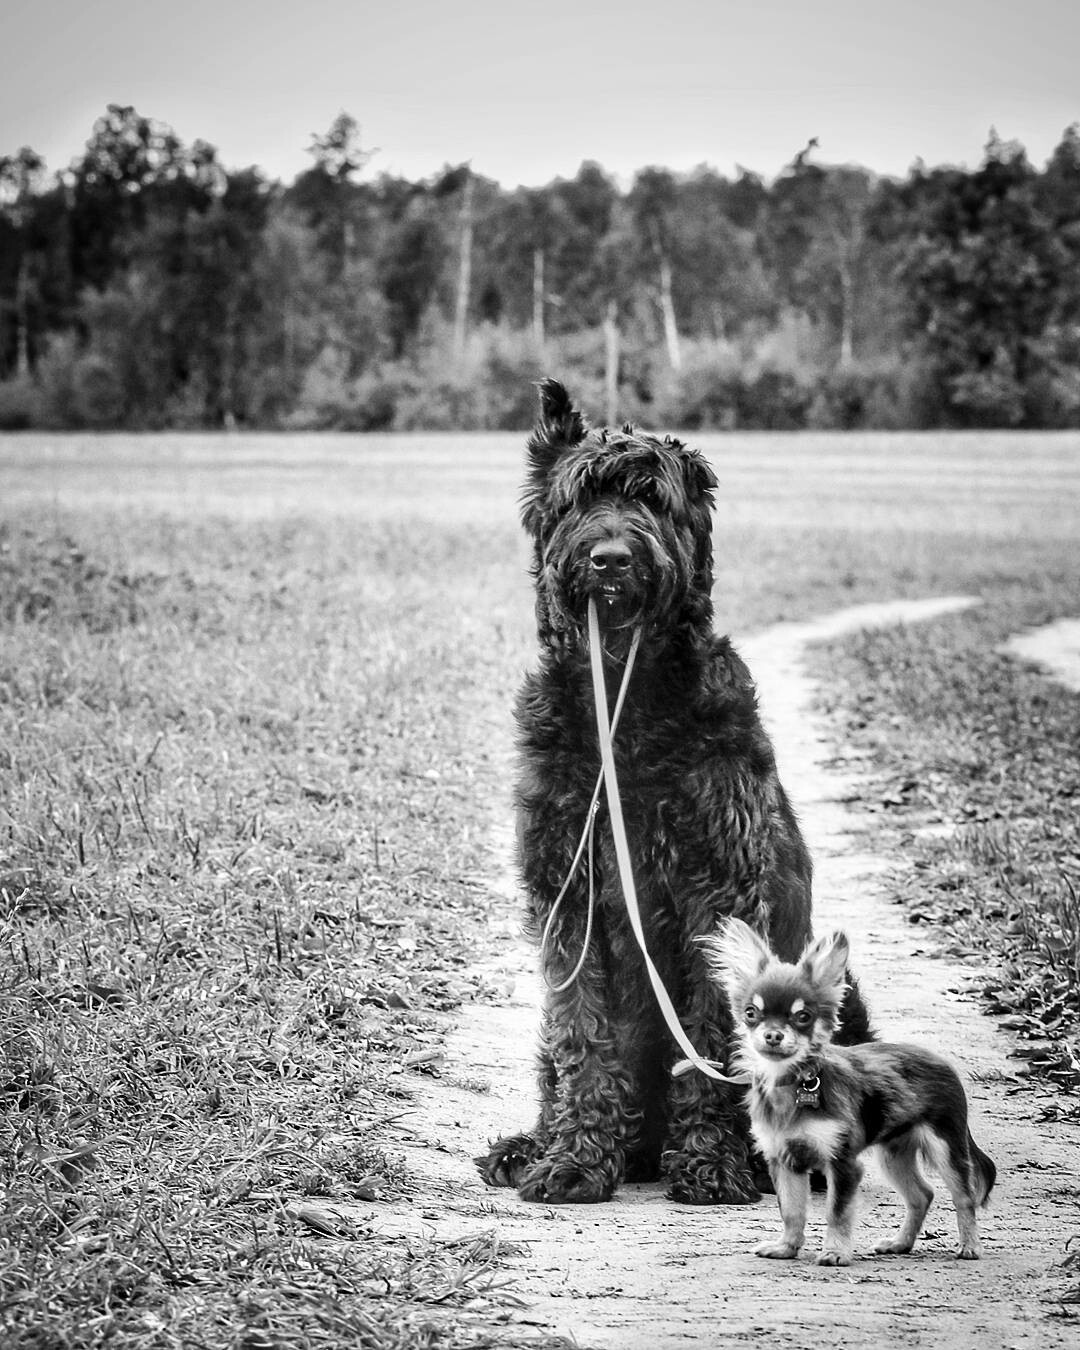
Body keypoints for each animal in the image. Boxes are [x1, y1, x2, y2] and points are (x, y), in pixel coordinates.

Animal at [477, 378, 874, 1204]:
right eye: (579, 498)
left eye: (652, 501)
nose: (610, 557)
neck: (625, 708)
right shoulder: (571, 903)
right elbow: (584, 1039)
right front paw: (575, 1158)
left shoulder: (717, 897)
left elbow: (713, 1040)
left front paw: (710, 1162)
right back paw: (537, 1144)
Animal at [702, 918, 993, 1263]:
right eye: (751, 1012)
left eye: (803, 1016)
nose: (772, 1035)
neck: (793, 1082)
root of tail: (941, 1061)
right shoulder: (785, 1161)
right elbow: (792, 1212)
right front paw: (786, 1247)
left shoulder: (842, 1162)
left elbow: (837, 1212)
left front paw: (835, 1252)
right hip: (893, 1154)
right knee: (922, 1195)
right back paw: (900, 1243)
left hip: (945, 1147)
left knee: (964, 1196)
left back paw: (970, 1245)